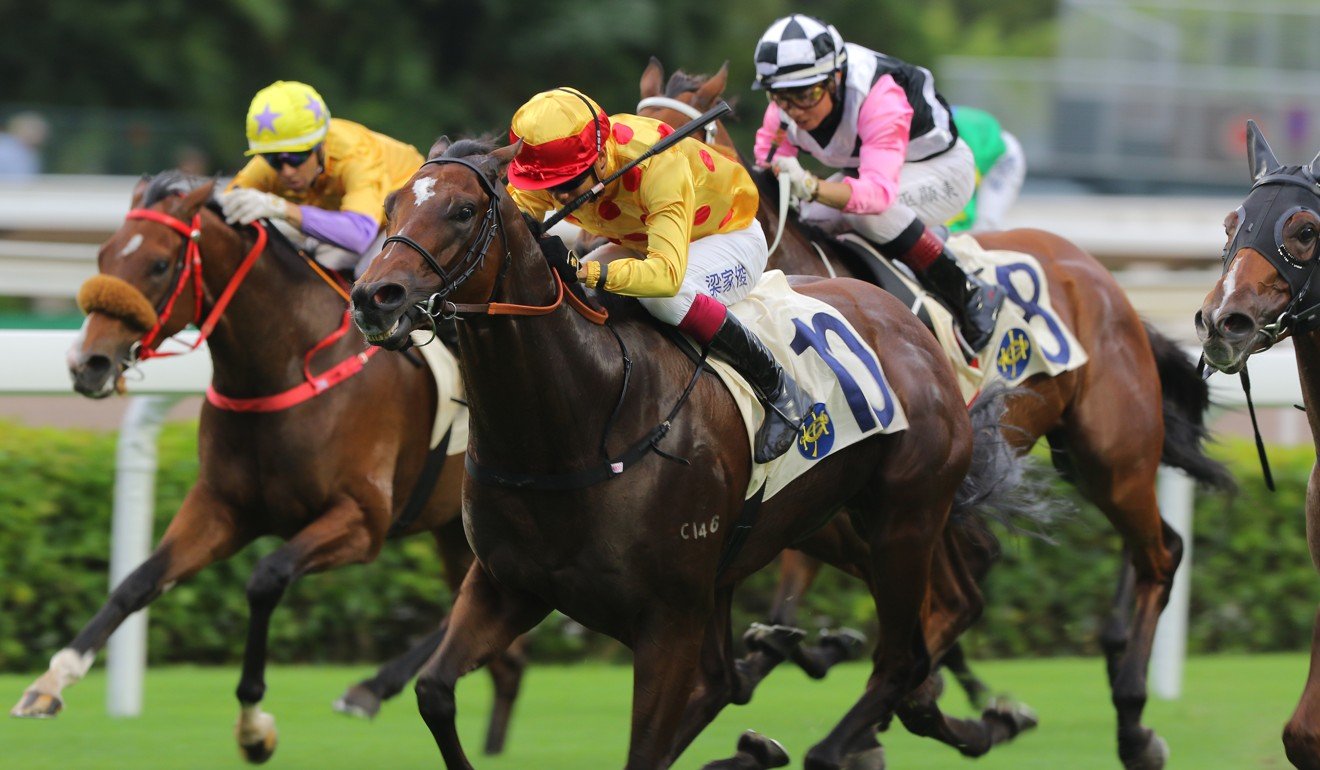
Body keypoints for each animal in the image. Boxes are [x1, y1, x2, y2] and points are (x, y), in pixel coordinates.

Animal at [11, 173, 525, 760]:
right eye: (104, 254)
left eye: (160, 265)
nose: (87, 364)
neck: (285, 365)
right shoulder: (221, 507)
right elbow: (137, 581)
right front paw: (49, 682)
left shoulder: (361, 521)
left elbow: (265, 578)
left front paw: (254, 728)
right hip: (454, 527)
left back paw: (371, 688)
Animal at [353, 140, 1050, 770]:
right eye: (390, 205)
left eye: (463, 210)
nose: (374, 296)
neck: (579, 420)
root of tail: (913, 325)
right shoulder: (509, 585)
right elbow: (434, 693)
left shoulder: (669, 619)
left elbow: (646, 751)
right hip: (804, 534)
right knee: (751, 678)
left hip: (902, 522)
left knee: (903, 657)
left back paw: (849, 743)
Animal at [641, 57, 1235, 766]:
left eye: (685, 143)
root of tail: (1102, 278)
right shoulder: (824, 495)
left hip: (1111, 456)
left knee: (1160, 553)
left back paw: (1133, 719)